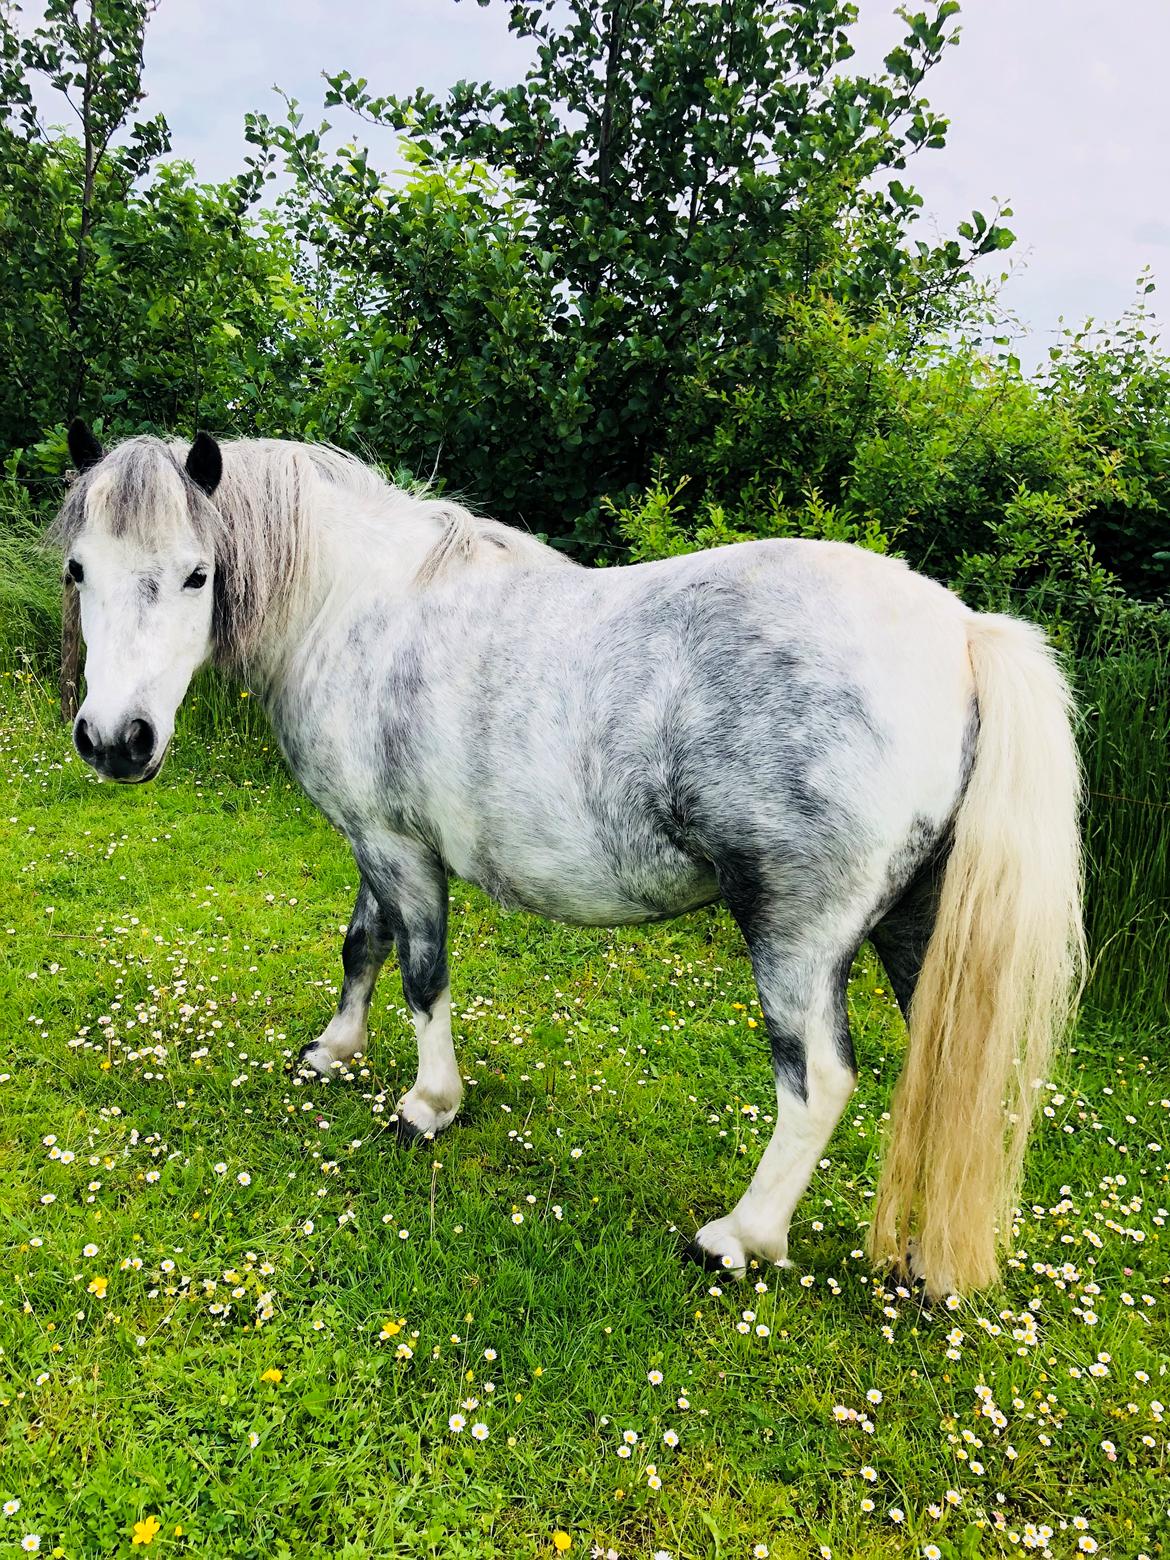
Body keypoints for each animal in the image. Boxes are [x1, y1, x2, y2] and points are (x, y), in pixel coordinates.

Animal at [50, 421, 1085, 1297]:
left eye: (197, 574)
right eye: (78, 569)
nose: (115, 740)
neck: (356, 608)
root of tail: (962, 634)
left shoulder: (397, 848)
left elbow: (422, 975)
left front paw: (428, 1105)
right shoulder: (374, 840)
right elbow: (362, 948)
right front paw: (334, 1052)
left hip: (797, 937)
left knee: (819, 1082)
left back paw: (739, 1238)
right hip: (921, 928)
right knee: (954, 1078)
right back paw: (929, 1258)